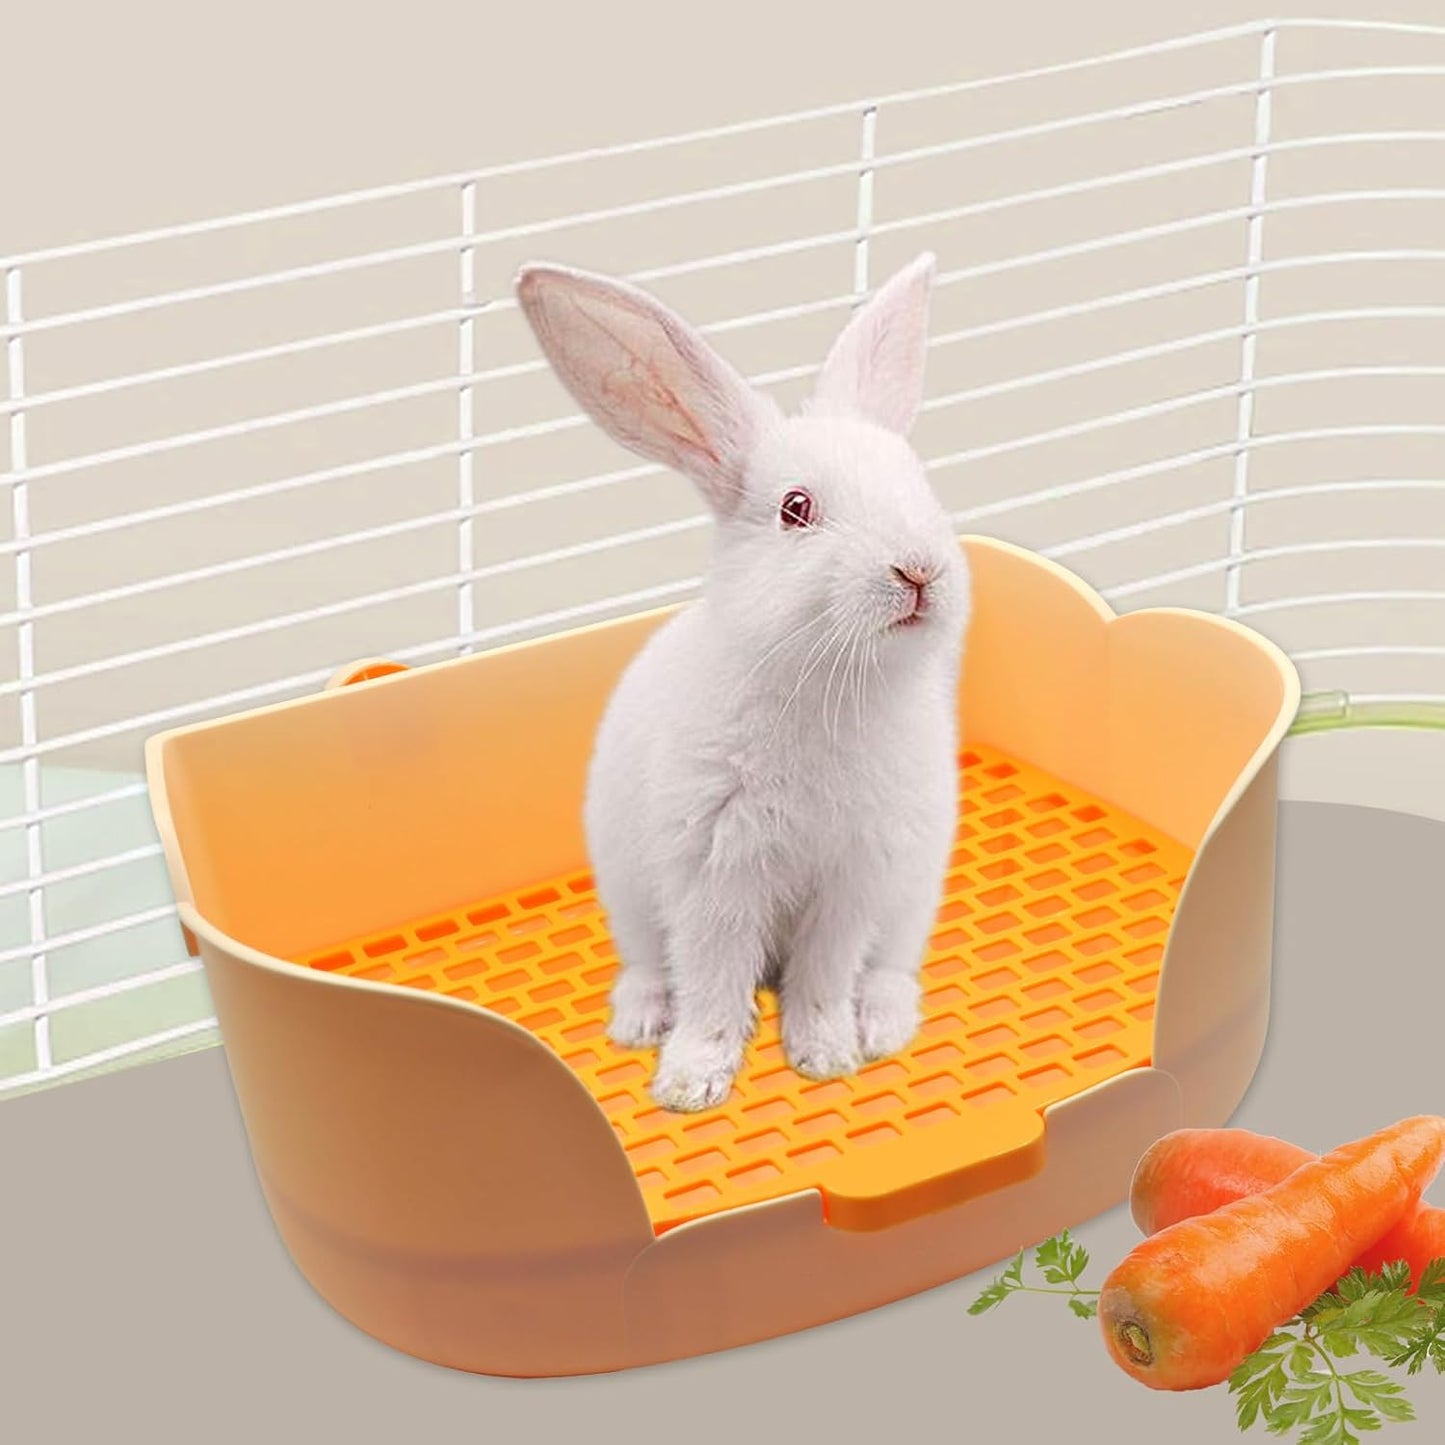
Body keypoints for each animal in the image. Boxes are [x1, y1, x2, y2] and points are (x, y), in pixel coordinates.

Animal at [515, 252, 971, 1112]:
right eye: (795, 508)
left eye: (920, 484)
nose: (918, 569)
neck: (827, 684)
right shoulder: (713, 873)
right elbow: (715, 982)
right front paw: (690, 1083)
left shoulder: (850, 881)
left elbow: (822, 975)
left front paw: (826, 1053)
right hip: (629, 898)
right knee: (654, 966)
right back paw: (638, 1019)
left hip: (910, 898)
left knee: (888, 969)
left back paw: (882, 1024)